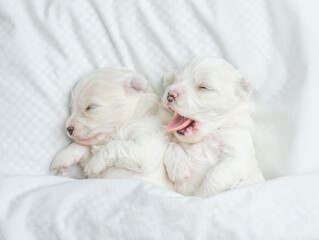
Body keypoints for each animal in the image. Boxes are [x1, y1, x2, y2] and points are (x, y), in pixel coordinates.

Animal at [162, 56, 264, 197]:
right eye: (175, 80)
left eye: (204, 87)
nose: (170, 94)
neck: (207, 135)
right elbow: (172, 142)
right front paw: (180, 169)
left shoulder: (237, 154)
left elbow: (215, 176)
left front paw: (199, 197)